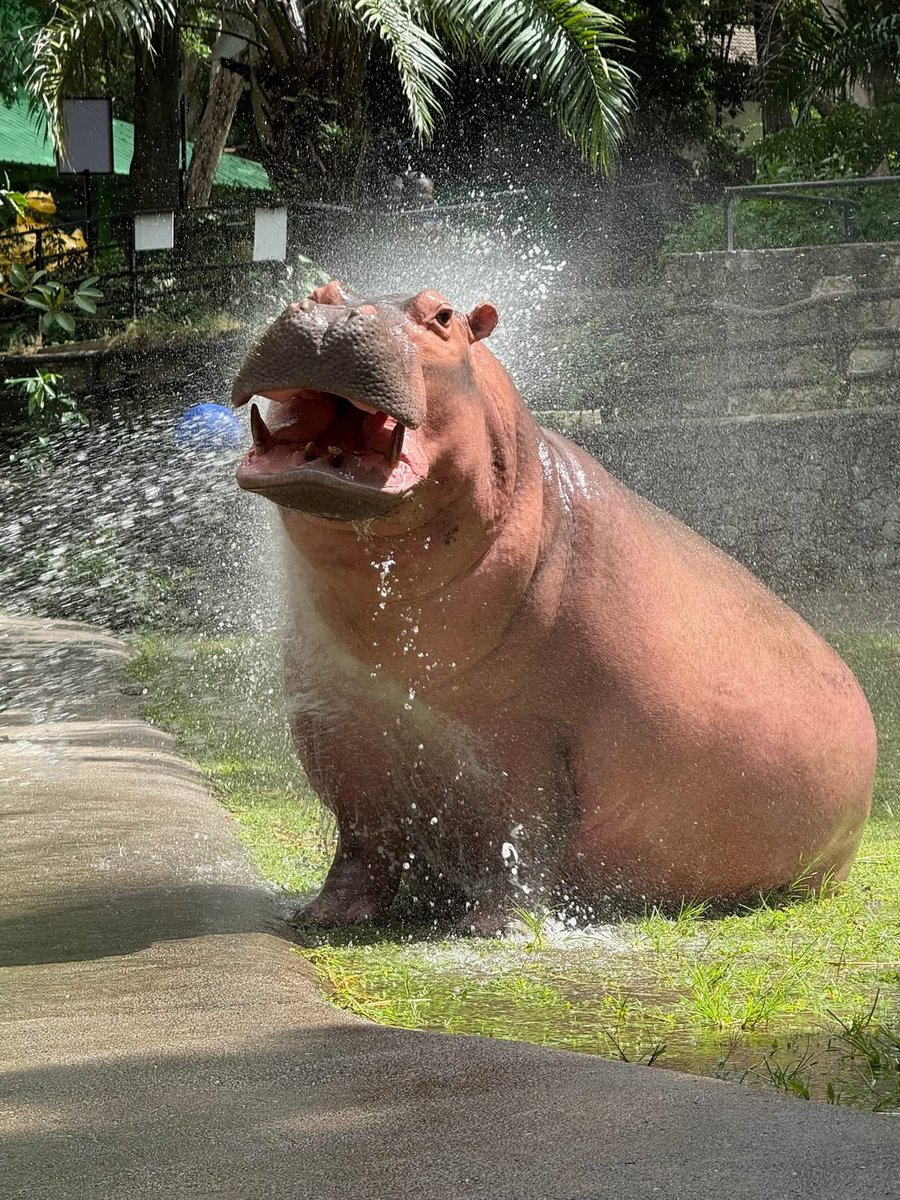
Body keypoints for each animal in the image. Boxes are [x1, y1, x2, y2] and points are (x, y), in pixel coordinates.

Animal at [232, 280, 877, 932]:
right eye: (321, 289)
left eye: (443, 316)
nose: (334, 316)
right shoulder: (340, 720)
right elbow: (362, 837)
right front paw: (322, 917)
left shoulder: (527, 738)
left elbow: (521, 836)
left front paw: (493, 928)